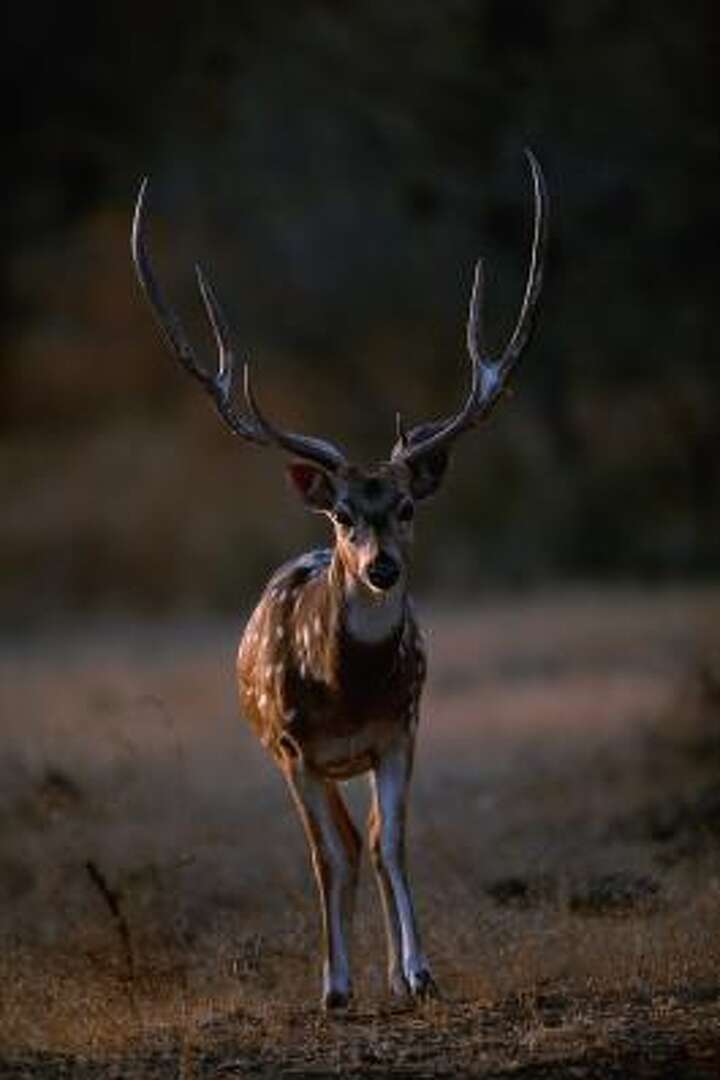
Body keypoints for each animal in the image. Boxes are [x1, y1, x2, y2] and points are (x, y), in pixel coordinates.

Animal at [131, 149, 547, 1010]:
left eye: (407, 507)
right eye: (344, 513)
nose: (380, 566)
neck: (346, 687)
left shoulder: (401, 726)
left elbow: (394, 846)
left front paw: (417, 973)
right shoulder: (293, 748)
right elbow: (331, 859)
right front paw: (334, 986)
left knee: (377, 839)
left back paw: (395, 971)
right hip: (296, 756)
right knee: (344, 846)